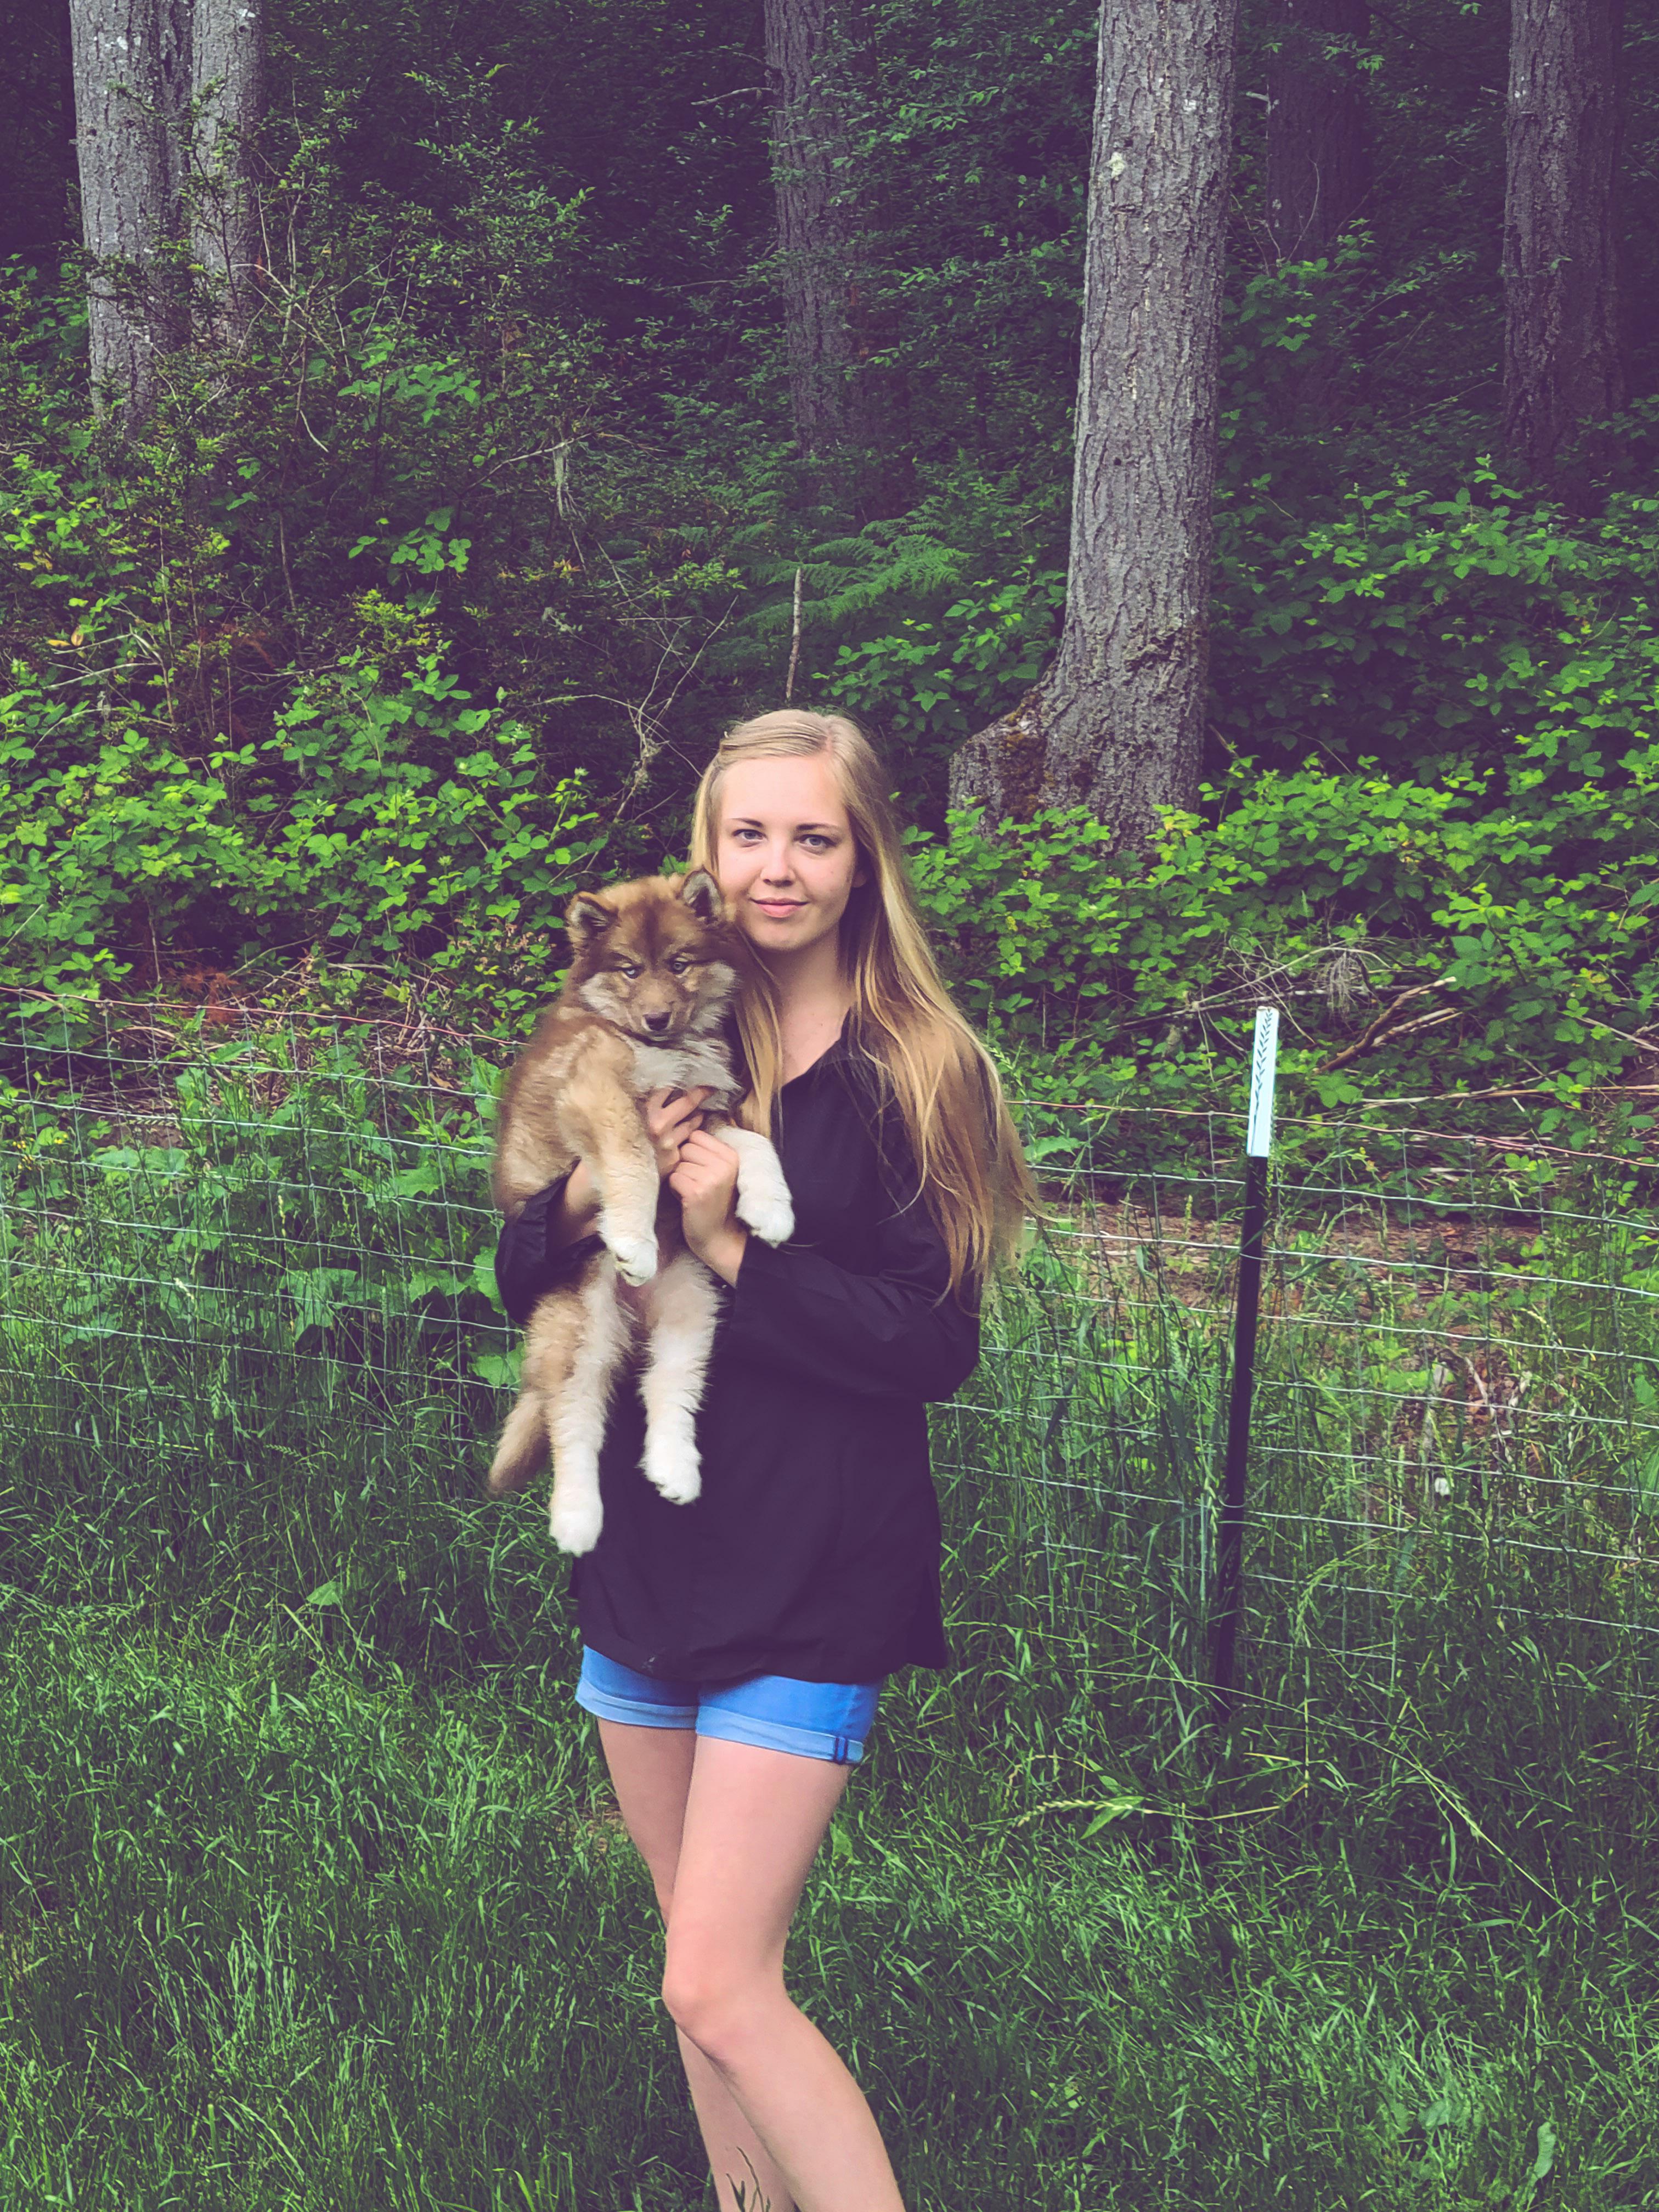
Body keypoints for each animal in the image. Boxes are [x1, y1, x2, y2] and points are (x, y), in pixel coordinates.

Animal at [486, 869, 794, 1554]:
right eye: (628, 969)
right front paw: (632, 1239)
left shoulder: (702, 1111)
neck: (665, 1045)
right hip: (580, 1324)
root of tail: (635, 1317)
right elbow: (636, 1162)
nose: (657, 1017)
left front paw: (773, 1209)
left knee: (668, 1386)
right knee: (573, 1419)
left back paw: (674, 1468)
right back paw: (577, 1518)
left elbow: (752, 1145)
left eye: (679, 964)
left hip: (694, 1305)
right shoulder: (600, 1092)